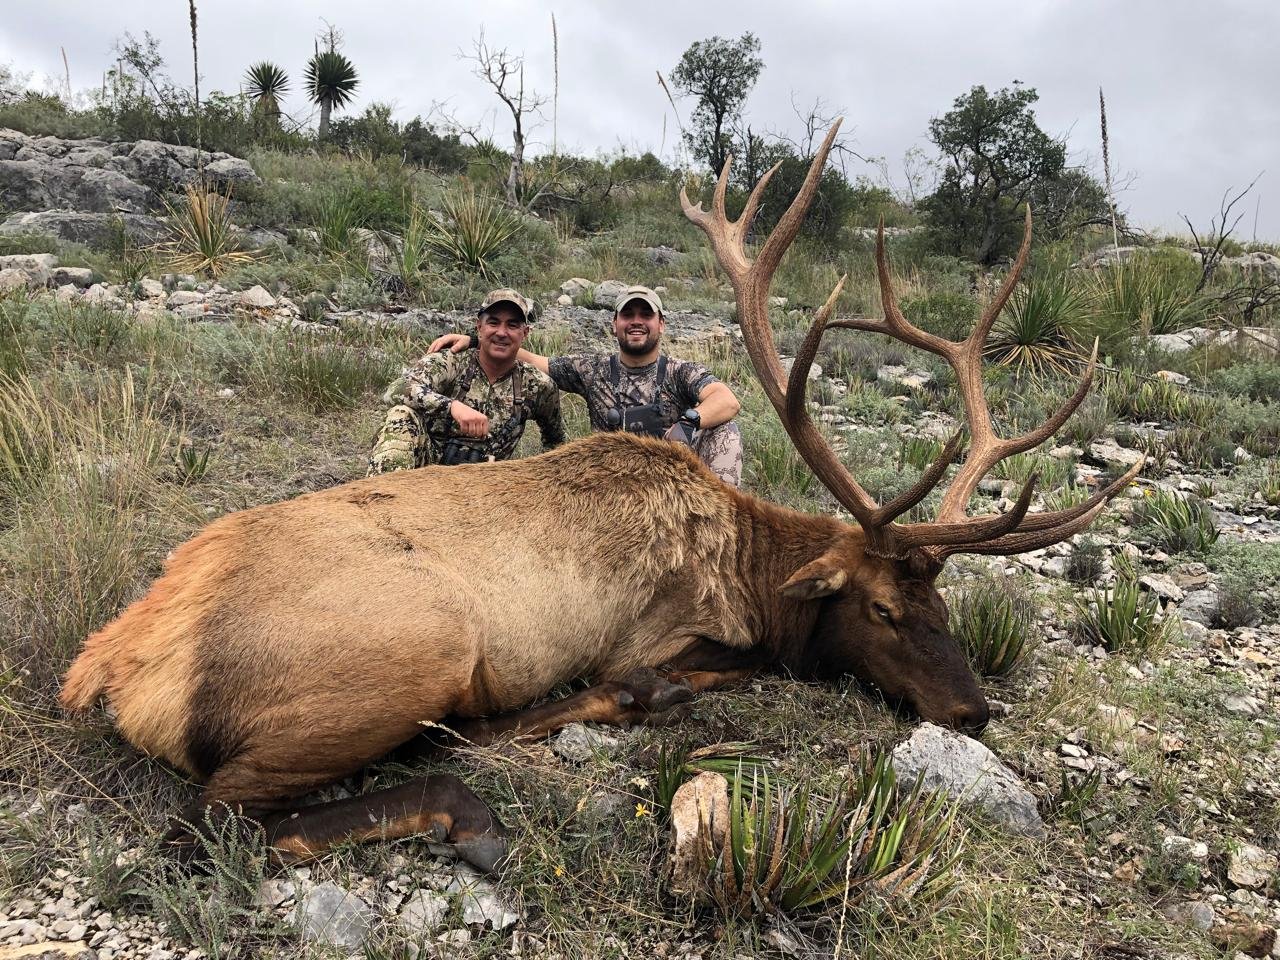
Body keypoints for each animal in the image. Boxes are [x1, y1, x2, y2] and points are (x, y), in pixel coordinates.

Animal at [60, 120, 1139, 873]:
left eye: (940, 599)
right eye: (881, 607)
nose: (973, 711)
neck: (747, 572)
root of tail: (114, 664)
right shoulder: (654, 632)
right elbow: (677, 674)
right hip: (410, 650)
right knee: (210, 824)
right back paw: (469, 806)